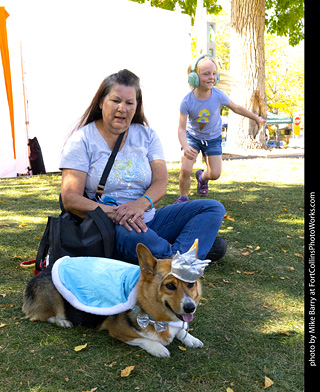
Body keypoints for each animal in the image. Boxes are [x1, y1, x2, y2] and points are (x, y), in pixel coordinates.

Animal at [22, 240, 210, 356]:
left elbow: (181, 330)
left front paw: (191, 339)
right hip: (53, 297)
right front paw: (158, 349)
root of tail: (45, 268)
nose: (190, 307)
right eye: (170, 285)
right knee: (41, 316)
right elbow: (144, 339)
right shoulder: (119, 331)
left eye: (191, 284)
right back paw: (62, 321)